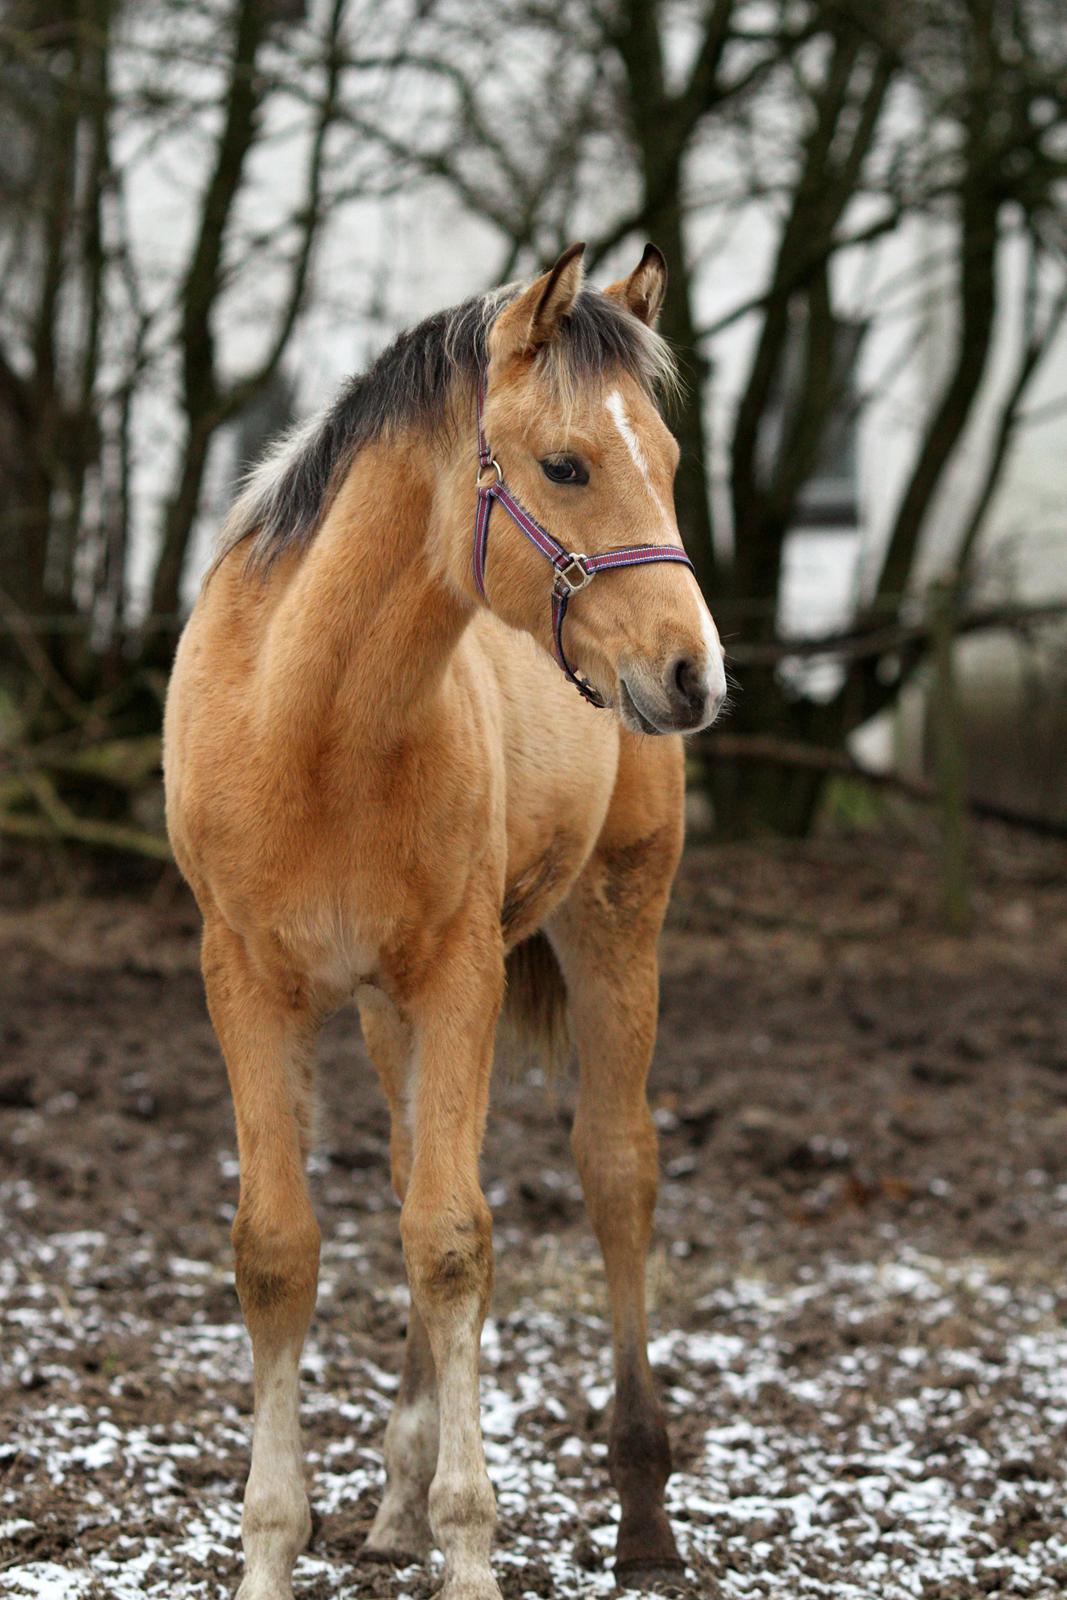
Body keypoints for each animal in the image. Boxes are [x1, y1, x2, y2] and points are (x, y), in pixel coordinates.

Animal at [164, 240, 726, 1600]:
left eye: (668, 462)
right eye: (566, 464)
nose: (694, 674)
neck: (313, 726)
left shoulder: (465, 972)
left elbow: (455, 1240)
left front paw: (468, 1544)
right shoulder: (243, 979)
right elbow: (281, 1247)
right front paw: (279, 1547)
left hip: (613, 925)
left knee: (613, 1172)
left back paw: (642, 1515)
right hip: (380, 1007)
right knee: (416, 1169)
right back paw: (394, 1507)